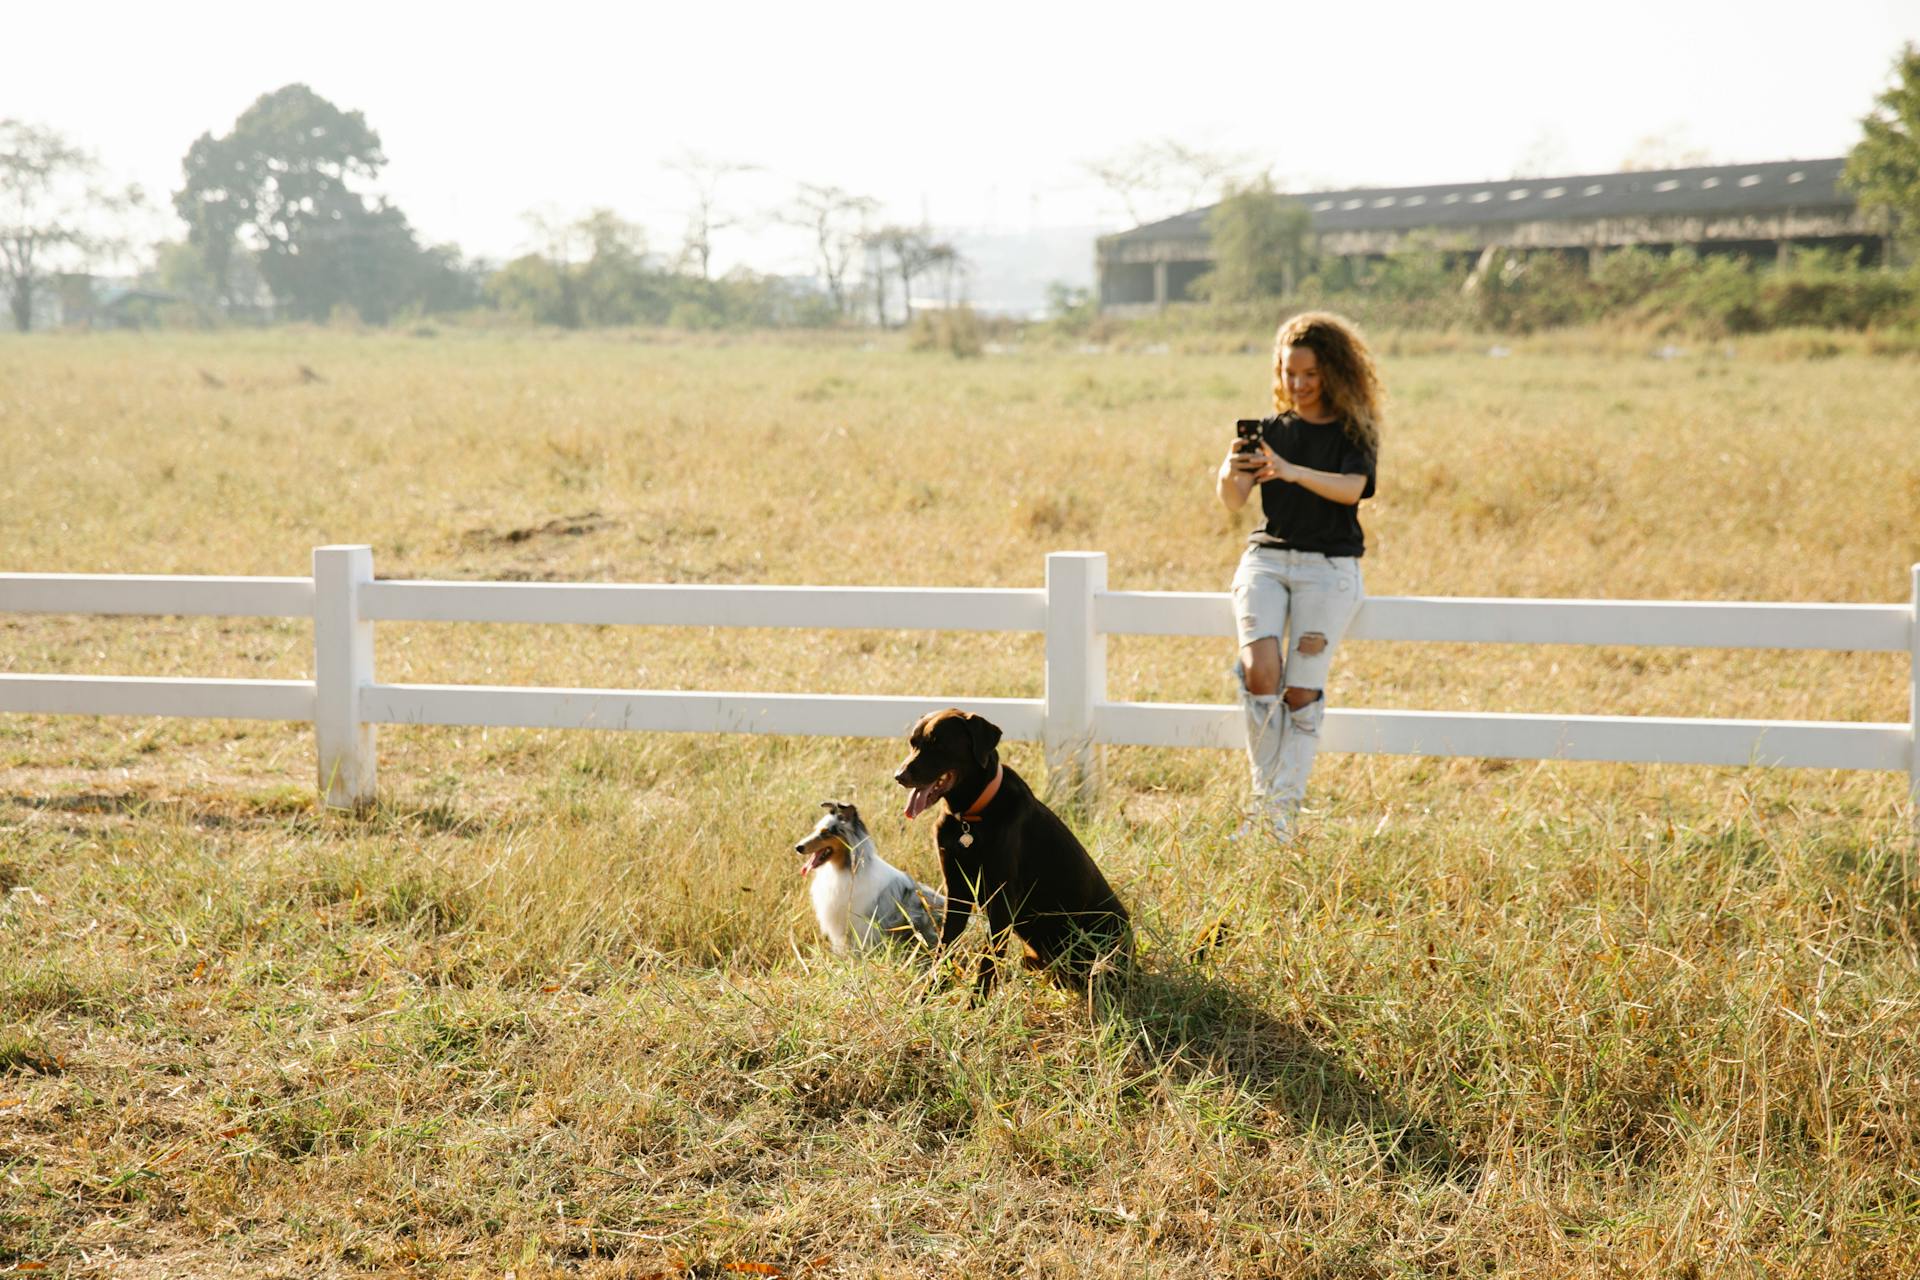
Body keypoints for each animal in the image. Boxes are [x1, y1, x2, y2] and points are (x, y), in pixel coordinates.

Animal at [894, 710, 1128, 997]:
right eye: (913, 743)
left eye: (938, 743)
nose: (899, 776)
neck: (969, 819)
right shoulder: (957, 891)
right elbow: (945, 949)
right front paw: (927, 997)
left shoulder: (1002, 898)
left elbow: (988, 961)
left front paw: (977, 1004)